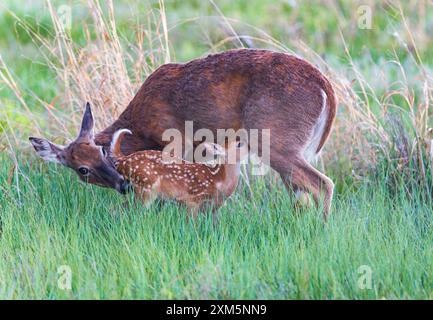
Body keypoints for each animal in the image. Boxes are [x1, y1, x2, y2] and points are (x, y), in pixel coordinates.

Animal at [109, 128, 248, 215]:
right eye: (239, 144)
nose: (249, 143)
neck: (217, 180)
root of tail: (123, 160)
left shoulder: (212, 209)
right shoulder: (192, 199)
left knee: (118, 208)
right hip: (146, 187)